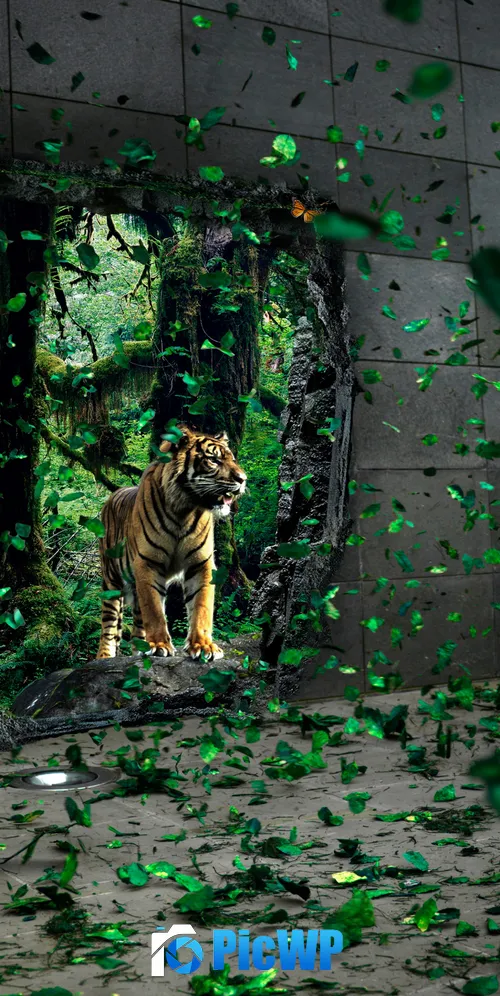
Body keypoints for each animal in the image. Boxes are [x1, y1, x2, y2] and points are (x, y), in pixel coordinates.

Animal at [97, 426, 247, 661]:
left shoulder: (201, 563)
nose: (243, 479)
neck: (184, 509)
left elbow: (202, 605)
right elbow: (154, 610)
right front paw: (159, 644)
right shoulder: (147, 562)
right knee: (109, 627)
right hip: (111, 581)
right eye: (214, 460)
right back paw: (105, 656)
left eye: (232, 459)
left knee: (137, 625)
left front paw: (203, 646)